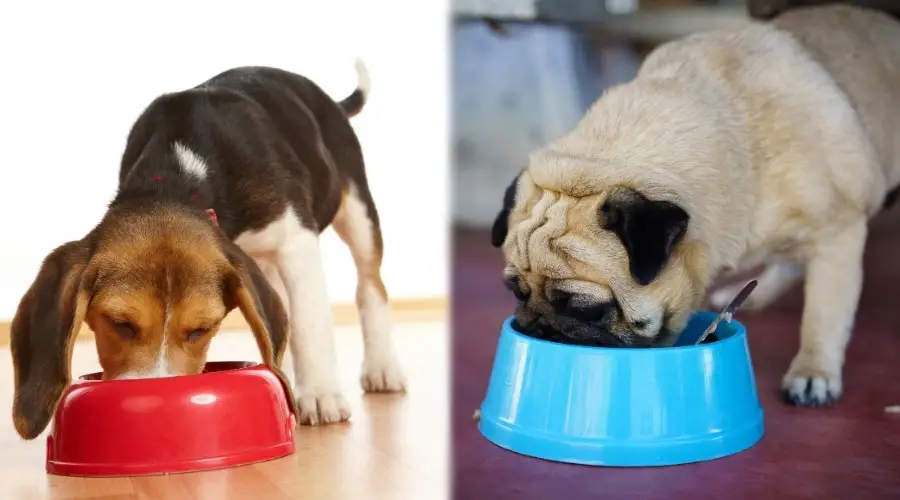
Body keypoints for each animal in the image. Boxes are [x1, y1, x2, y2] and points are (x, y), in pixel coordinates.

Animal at [9, 59, 404, 442]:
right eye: (120, 324)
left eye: (201, 329)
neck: (176, 181)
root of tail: (330, 101)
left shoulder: (297, 242)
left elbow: (310, 323)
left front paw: (321, 395)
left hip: (357, 211)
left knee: (370, 286)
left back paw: (382, 368)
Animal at [488, 3, 900, 408]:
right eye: (516, 292)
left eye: (585, 309)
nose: (539, 326)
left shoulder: (838, 234)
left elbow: (823, 314)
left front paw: (813, 372)